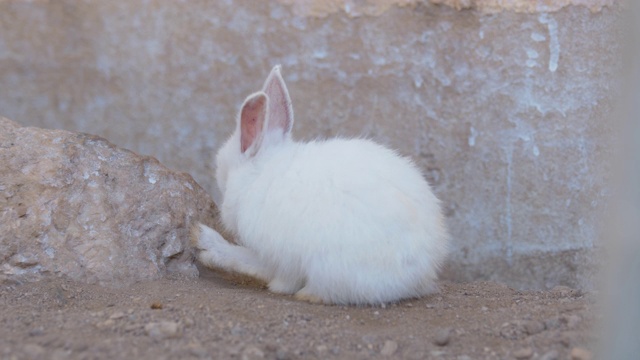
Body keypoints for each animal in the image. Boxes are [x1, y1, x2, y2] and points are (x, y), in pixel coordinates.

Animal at [195, 66, 450, 306]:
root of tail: (423, 274)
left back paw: (309, 295)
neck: (261, 174)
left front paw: (205, 243)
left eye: (223, 173)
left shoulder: (277, 254)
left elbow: (263, 268)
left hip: (330, 265)